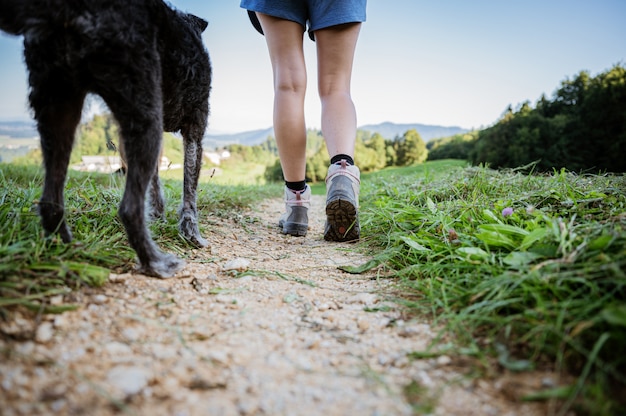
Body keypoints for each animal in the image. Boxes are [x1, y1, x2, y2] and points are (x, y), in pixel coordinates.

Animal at [0, 0, 212, 280]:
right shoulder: (195, 126)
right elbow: (190, 190)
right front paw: (190, 233)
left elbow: (157, 183)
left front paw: (158, 214)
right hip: (145, 112)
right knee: (129, 209)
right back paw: (155, 262)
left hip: (58, 108)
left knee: (50, 201)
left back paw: (67, 248)